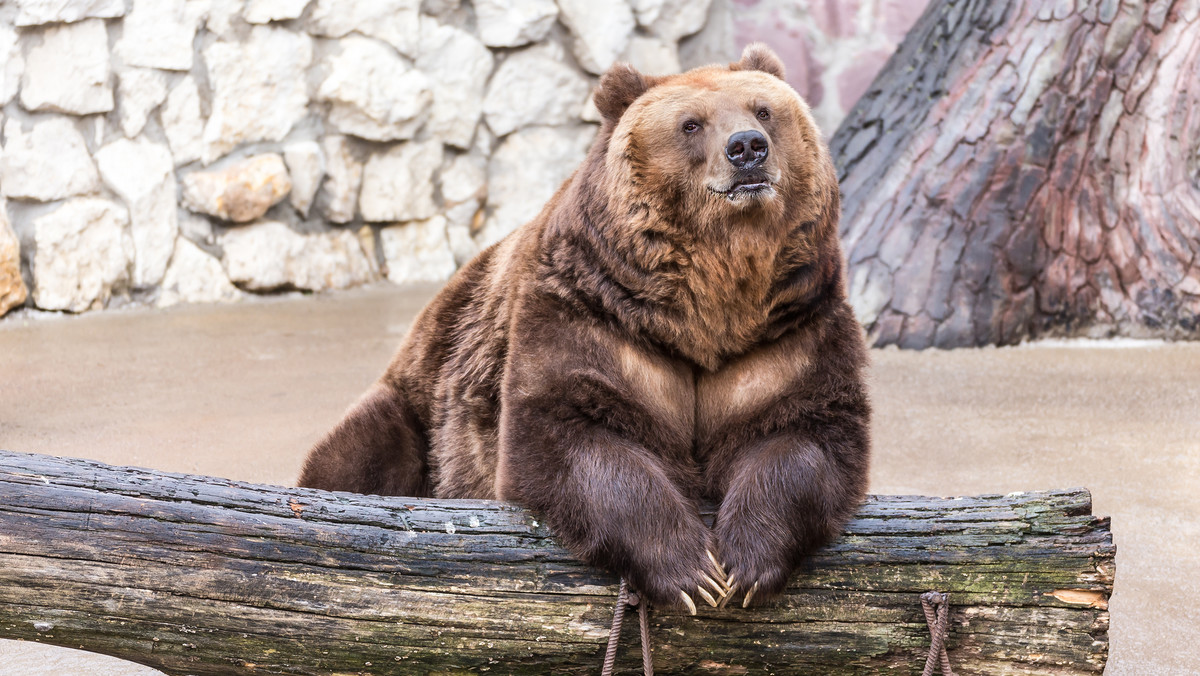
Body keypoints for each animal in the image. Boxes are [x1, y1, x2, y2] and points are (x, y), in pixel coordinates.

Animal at [295, 43, 868, 614]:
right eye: (690, 123)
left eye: (764, 110)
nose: (747, 147)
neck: (707, 307)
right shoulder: (595, 314)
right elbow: (570, 433)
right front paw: (691, 570)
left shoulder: (787, 327)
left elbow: (804, 432)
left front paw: (744, 563)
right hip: (421, 404)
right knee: (361, 451)